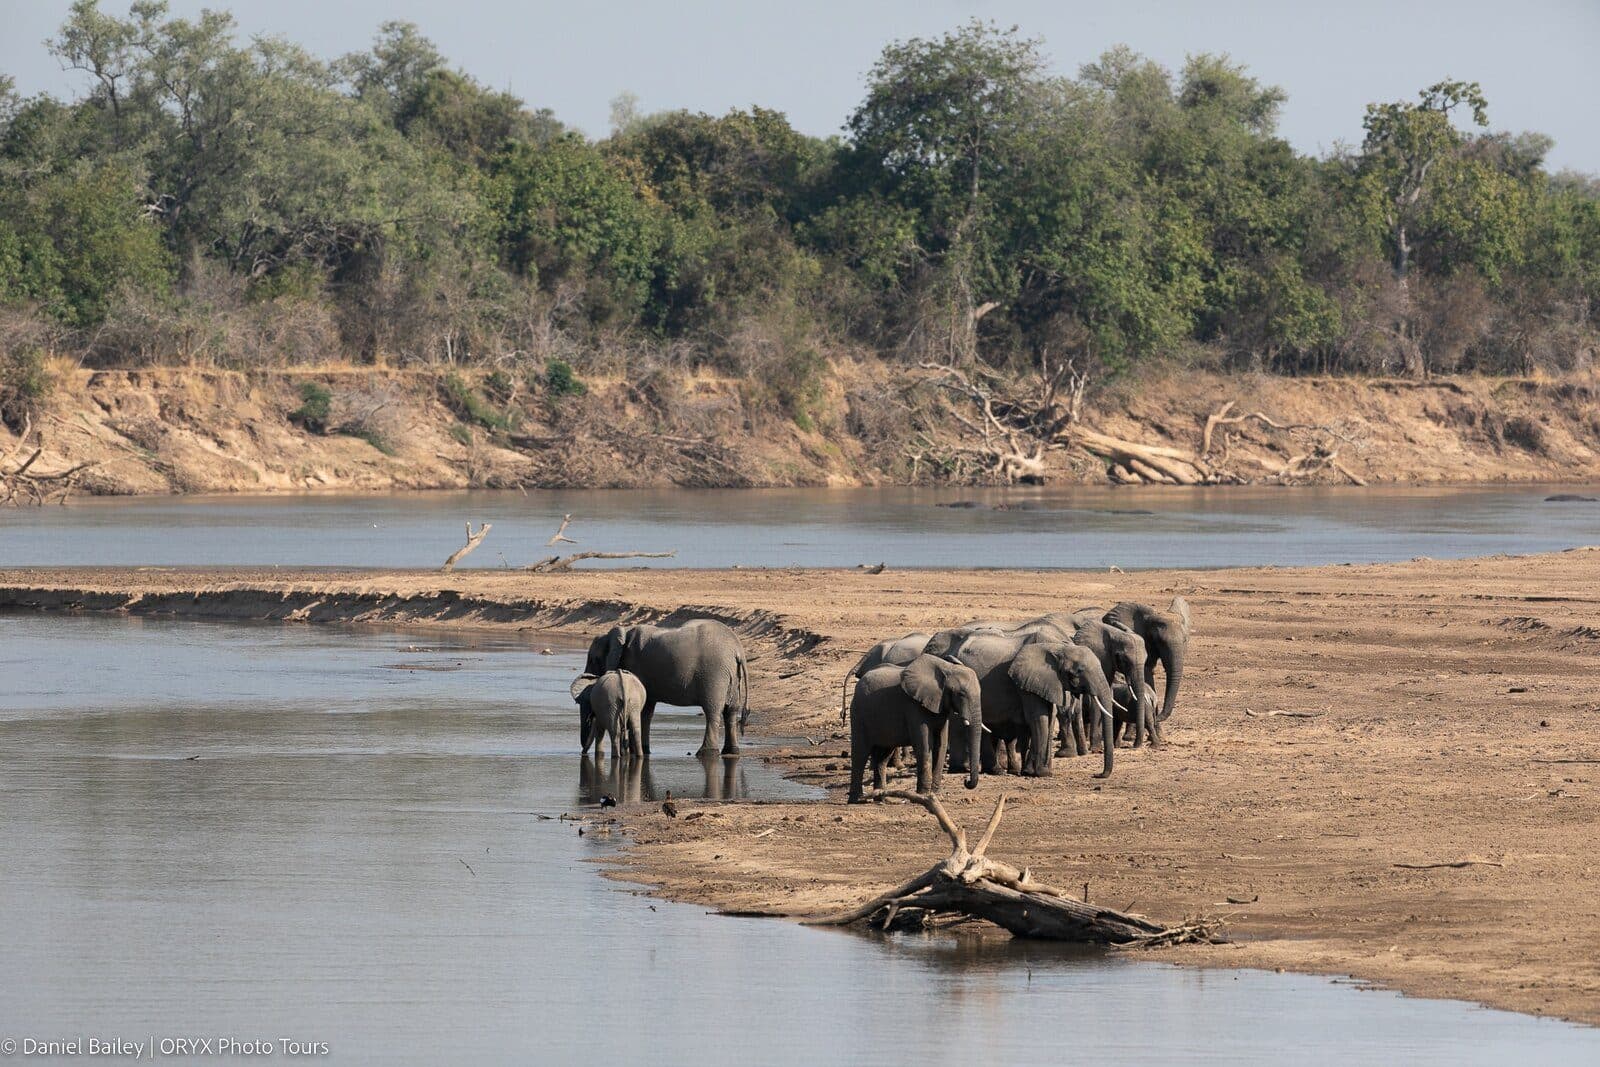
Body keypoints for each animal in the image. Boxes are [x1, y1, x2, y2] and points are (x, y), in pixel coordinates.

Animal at [586, 619, 749, 758]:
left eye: (593, 659)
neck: (623, 633)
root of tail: (738, 650)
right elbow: (646, 711)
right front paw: (644, 750)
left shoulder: (635, 667)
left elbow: (644, 710)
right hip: (731, 676)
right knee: (731, 711)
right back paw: (731, 751)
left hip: (714, 674)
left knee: (712, 711)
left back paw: (705, 753)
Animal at [848, 654, 983, 802]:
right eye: (961, 694)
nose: (966, 781)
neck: (947, 668)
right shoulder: (914, 707)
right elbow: (924, 745)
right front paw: (924, 795)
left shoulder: (940, 707)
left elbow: (941, 745)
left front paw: (936, 794)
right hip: (858, 714)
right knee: (860, 754)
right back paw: (856, 799)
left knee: (882, 757)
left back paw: (881, 797)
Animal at [945, 633, 1117, 778]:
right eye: (1079, 670)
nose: (1097, 775)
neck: (1058, 647)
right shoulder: (1027, 682)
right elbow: (1038, 718)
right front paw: (1042, 773)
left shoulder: (1046, 683)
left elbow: (1049, 718)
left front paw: (1031, 771)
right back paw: (966, 769)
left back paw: (995, 770)